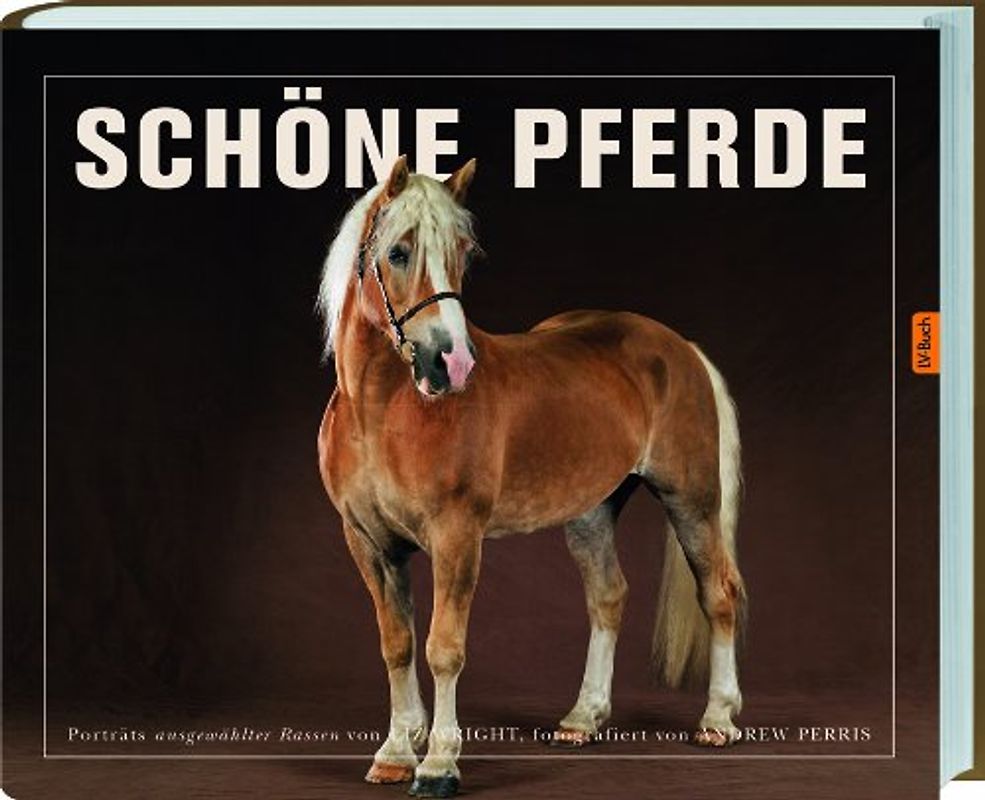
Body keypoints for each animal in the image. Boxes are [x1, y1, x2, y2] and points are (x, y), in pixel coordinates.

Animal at [316, 156, 747, 798]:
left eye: (464, 252)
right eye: (398, 252)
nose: (451, 362)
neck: (380, 412)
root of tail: (681, 347)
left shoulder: (456, 536)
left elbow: (444, 648)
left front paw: (438, 764)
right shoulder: (368, 542)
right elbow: (397, 646)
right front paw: (395, 752)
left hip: (691, 499)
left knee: (717, 594)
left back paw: (717, 719)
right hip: (591, 511)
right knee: (608, 597)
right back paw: (582, 719)